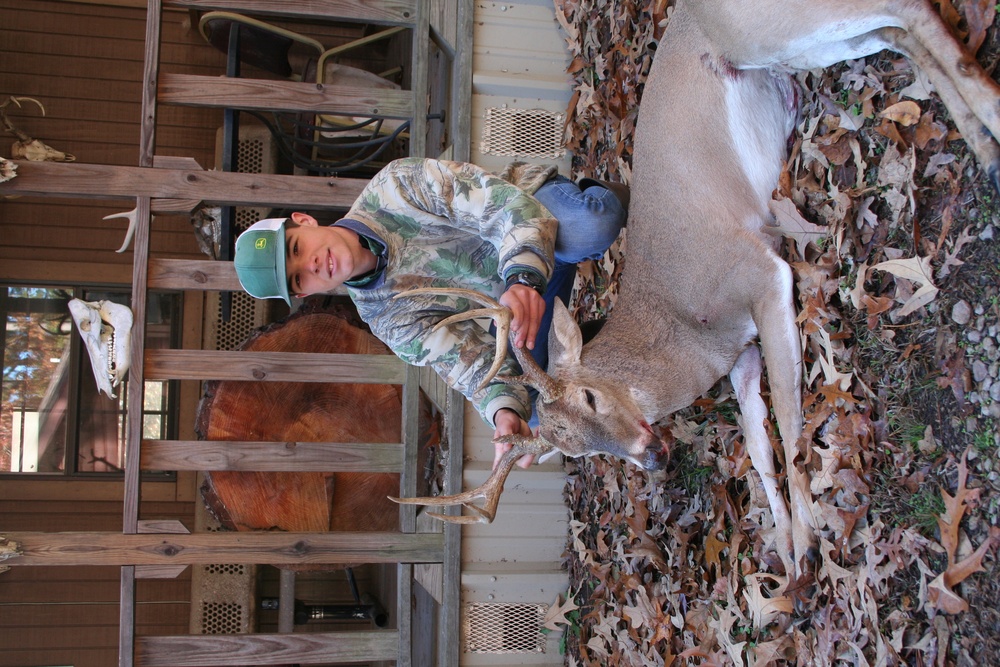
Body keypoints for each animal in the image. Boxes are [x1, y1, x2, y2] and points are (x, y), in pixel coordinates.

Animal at [394, 0, 1000, 580]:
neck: (685, 326)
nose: (652, 455)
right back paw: (981, 131)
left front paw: (810, 536)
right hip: (793, 50)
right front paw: (790, 553)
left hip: (763, 29)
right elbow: (758, 444)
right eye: (578, 451)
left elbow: (791, 416)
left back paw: (989, 130)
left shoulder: (760, 272)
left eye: (590, 397)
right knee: (895, 31)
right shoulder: (739, 355)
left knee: (907, 11)